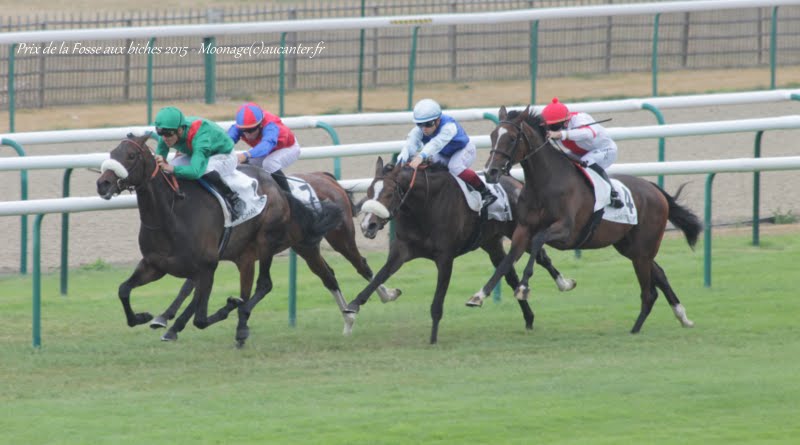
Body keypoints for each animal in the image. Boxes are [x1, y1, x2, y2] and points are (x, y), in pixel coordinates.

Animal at [97, 134, 368, 346]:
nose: (103, 183)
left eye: (131, 155)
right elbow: (124, 290)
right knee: (327, 275)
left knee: (272, 283)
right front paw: (146, 317)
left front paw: (226, 308)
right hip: (293, 248)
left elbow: (201, 315)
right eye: (112, 152)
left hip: (288, 241)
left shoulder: (207, 265)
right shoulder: (155, 265)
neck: (172, 213)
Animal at [344, 156, 576, 344]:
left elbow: (437, 301)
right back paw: (528, 317)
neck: (424, 205)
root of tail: (516, 182)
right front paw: (352, 306)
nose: (368, 225)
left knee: (542, 257)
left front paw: (433, 338)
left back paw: (563, 284)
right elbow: (378, 277)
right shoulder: (401, 251)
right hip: (491, 243)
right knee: (510, 274)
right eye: (368, 192)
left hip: (520, 233)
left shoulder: (445, 257)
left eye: (390, 193)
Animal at [472, 106, 704, 332]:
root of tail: (656, 190)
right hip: (631, 247)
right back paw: (683, 317)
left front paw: (524, 287)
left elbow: (538, 242)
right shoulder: (523, 229)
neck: (545, 184)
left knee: (649, 292)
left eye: (512, 138)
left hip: (643, 248)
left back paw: (636, 328)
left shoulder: (565, 231)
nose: (490, 171)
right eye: (492, 136)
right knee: (660, 275)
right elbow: (507, 261)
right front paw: (479, 296)